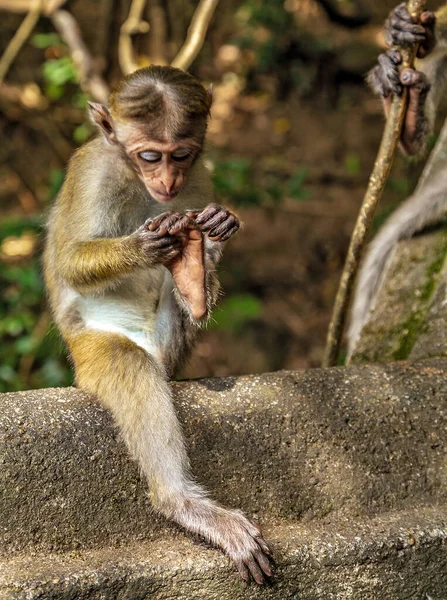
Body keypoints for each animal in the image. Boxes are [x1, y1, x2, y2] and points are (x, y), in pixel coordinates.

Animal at [43, 67, 272, 584]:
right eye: (150, 155)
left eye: (181, 155)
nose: (168, 179)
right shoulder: (92, 172)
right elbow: (68, 260)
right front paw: (143, 247)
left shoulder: (201, 175)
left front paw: (212, 233)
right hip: (91, 349)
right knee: (130, 365)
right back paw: (179, 501)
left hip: (170, 348)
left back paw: (192, 280)